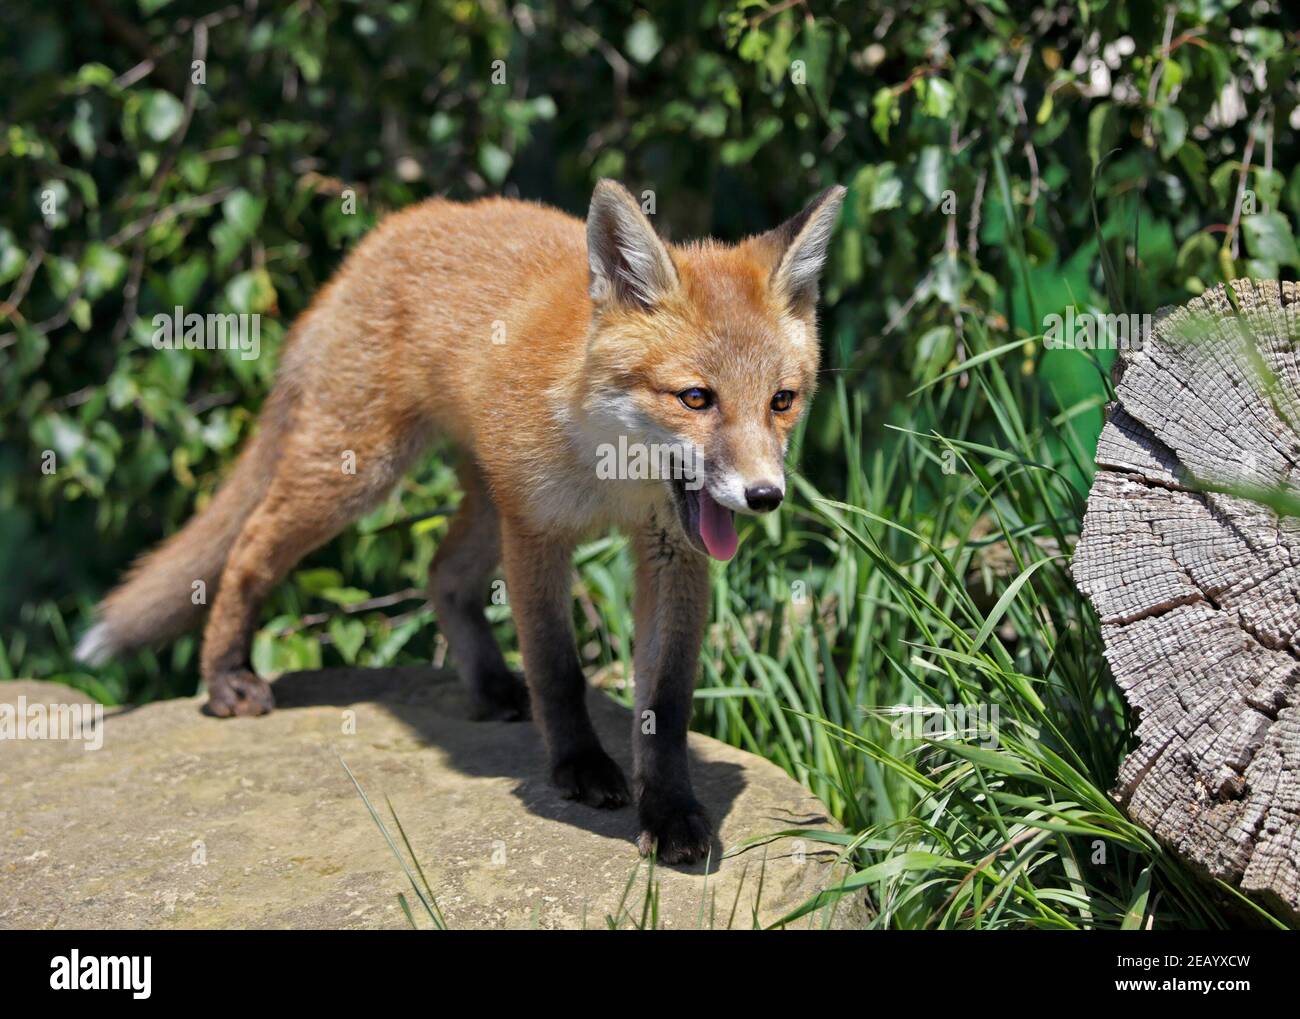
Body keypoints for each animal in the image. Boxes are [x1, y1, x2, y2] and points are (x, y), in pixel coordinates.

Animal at [76, 179, 845, 863]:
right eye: (695, 397)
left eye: (781, 400)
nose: (765, 495)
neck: (612, 476)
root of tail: (390, 230)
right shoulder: (536, 531)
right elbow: (558, 670)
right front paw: (579, 768)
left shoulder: (669, 550)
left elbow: (666, 705)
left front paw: (672, 812)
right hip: (359, 474)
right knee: (249, 548)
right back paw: (226, 677)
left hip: (477, 499)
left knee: (440, 574)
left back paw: (490, 685)